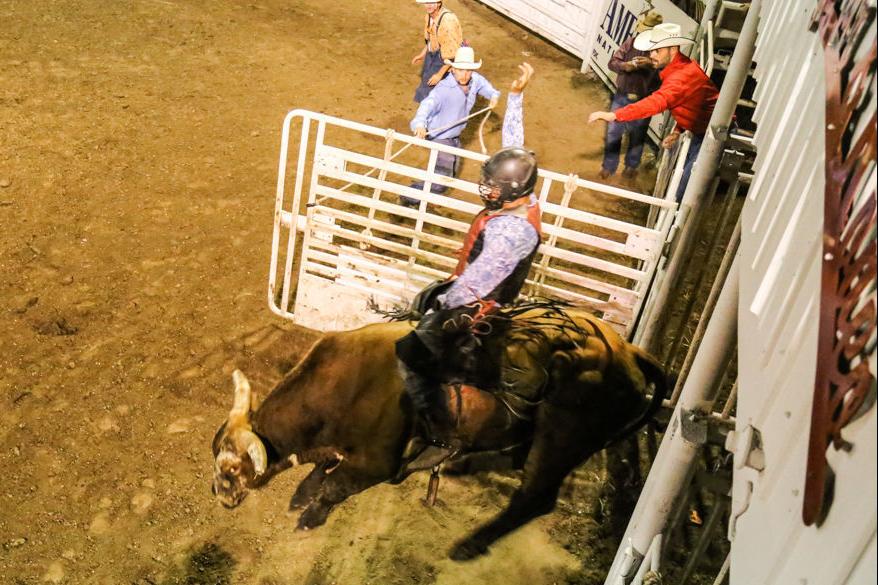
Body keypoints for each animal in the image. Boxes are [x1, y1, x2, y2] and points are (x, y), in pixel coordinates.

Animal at [213, 304, 668, 560]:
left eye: (232, 470)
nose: (219, 494)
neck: (344, 382)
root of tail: (630, 353)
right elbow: (321, 472)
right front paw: (302, 494)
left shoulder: (376, 462)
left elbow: (334, 487)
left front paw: (310, 515)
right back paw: (462, 466)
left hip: (561, 435)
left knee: (535, 496)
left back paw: (469, 545)